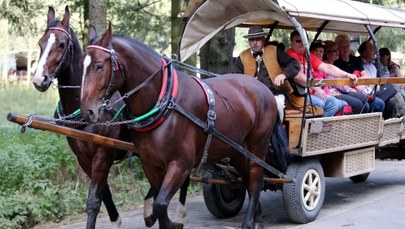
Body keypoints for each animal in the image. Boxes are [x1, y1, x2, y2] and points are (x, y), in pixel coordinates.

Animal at [32, 6, 189, 228]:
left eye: (62, 44)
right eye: (41, 43)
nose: (39, 79)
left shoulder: (102, 155)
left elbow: (93, 201)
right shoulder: (84, 159)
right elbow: (104, 195)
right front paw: (116, 221)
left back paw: (178, 215)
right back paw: (149, 208)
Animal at [79, 22, 288, 229]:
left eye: (99, 66)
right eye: (82, 66)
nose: (87, 111)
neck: (164, 101)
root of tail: (264, 90)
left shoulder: (180, 164)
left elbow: (160, 205)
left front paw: (173, 222)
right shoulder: (150, 164)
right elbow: (158, 204)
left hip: (258, 146)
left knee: (255, 179)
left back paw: (249, 222)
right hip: (237, 149)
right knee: (247, 178)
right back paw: (257, 218)